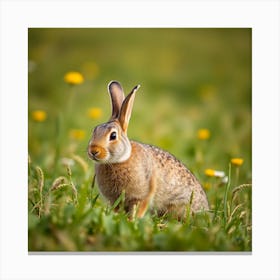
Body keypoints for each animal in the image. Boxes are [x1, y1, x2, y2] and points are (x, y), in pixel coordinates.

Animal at [87, 81, 208, 219]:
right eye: (94, 131)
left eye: (113, 136)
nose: (93, 151)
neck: (119, 160)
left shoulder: (142, 195)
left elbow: (140, 208)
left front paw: (132, 220)